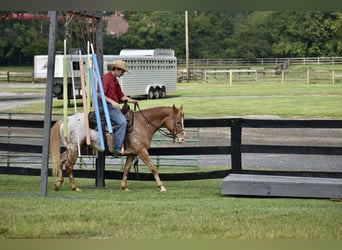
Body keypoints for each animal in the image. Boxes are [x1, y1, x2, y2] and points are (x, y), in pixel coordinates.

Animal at [48, 104, 184, 192]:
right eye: (178, 122)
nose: (182, 139)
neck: (143, 124)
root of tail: (65, 120)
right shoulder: (141, 151)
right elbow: (153, 168)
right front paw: (161, 186)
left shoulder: (132, 154)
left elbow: (127, 169)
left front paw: (124, 187)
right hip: (74, 148)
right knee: (69, 166)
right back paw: (75, 187)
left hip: (71, 148)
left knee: (61, 160)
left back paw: (57, 184)